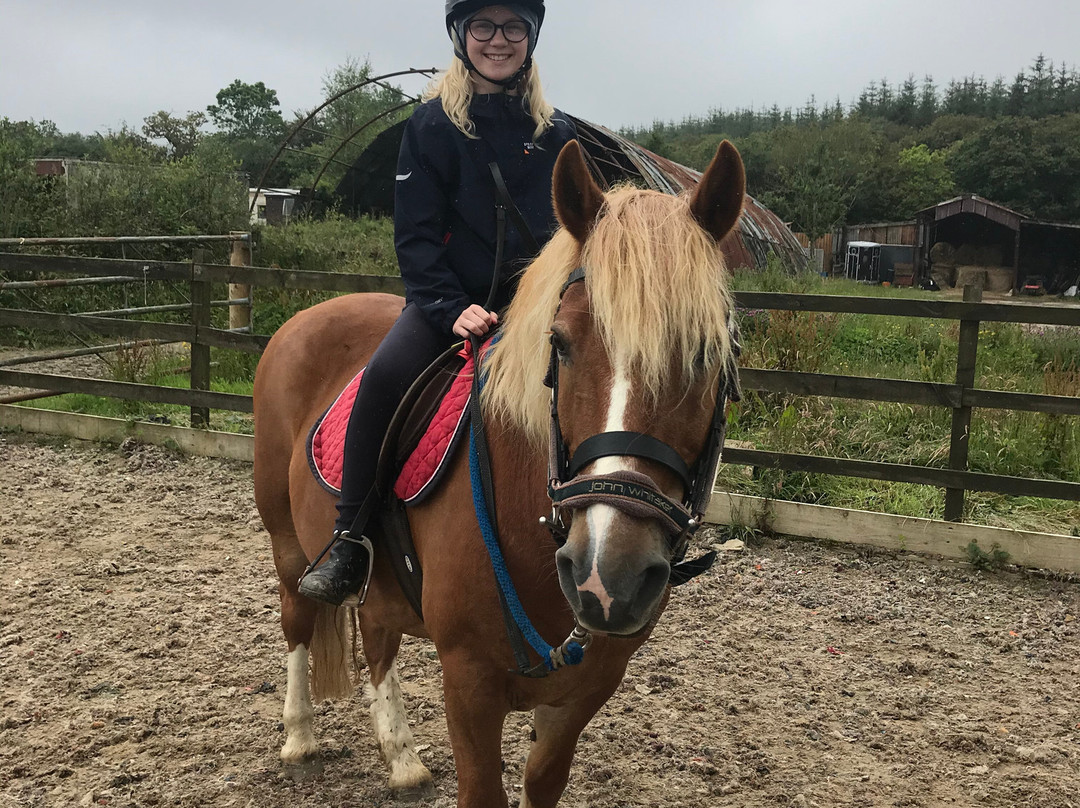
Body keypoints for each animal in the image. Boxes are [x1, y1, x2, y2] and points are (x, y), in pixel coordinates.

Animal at [252, 138, 745, 807]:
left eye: (707, 351)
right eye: (559, 343)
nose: (606, 577)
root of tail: (306, 317)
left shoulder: (588, 685)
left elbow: (542, 781)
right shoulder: (469, 683)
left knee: (377, 637)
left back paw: (401, 758)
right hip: (287, 543)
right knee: (299, 618)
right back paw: (300, 736)